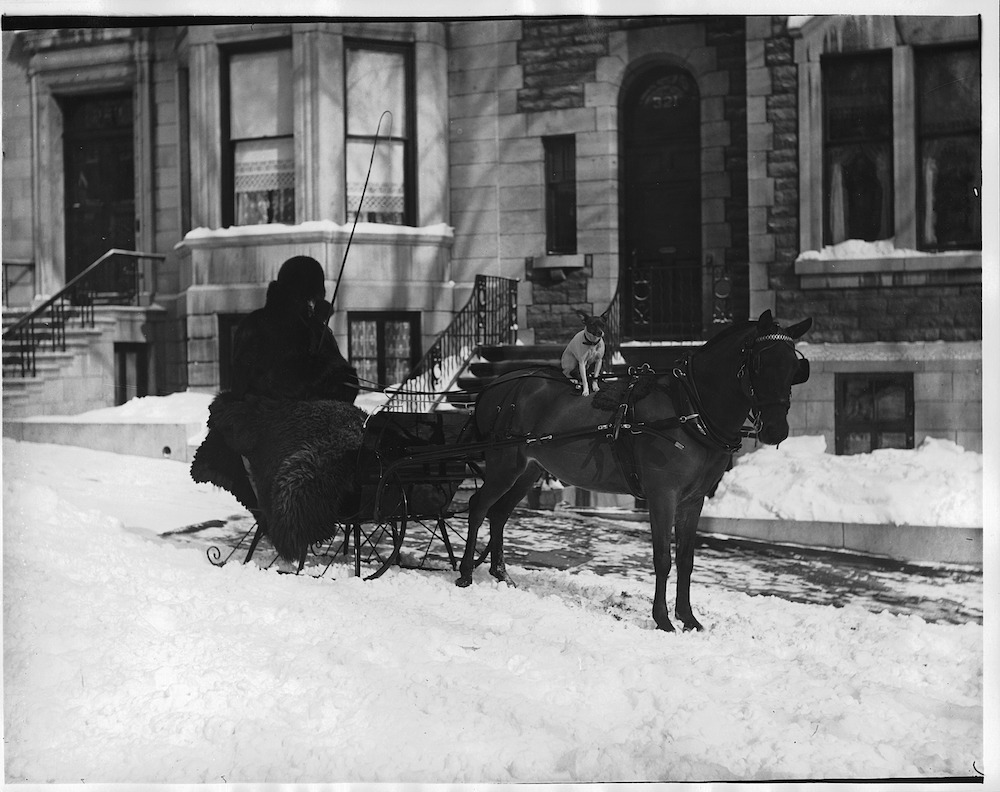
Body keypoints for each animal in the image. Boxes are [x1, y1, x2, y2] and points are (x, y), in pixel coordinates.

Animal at [458, 310, 808, 632]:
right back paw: (464, 573)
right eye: (759, 363)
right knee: (478, 506)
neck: (688, 408)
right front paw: (663, 620)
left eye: (795, 368)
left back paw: (502, 574)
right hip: (504, 464)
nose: (776, 430)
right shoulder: (662, 495)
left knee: (499, 513)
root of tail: (493, 387)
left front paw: (688, 618)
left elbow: (686, 559)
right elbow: (663, 558)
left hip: (528, 469)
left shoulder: (693, 500)